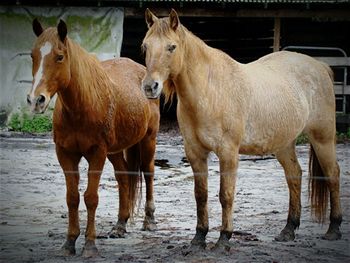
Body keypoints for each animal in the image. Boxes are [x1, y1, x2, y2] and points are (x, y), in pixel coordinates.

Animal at [28, 20, 160, 258]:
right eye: (32, 55)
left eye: (59, 57)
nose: (36, 100)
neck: (82, 106)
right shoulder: (65, 154)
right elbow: (72, 198)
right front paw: (69, 243)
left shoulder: (97, 153)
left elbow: (91, 198)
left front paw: (89, 245)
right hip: (115, 150)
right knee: (123, 177)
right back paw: (120, 225)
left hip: (148, 140)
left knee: (148, 173)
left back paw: (149, 221)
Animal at [140, 9, 342, 251]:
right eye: (145, 46)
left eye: (172, 47)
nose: (150, 87)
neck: (210, 91)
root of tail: (320, 67)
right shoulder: (195, 153)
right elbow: (201, 195)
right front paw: (198, 238)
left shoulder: (228, 153)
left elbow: (225, 195)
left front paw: (223, 239)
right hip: (284, 144)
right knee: (294, 175)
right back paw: (288, 229)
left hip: (323, 138)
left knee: (332, 174)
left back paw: (334, 229)